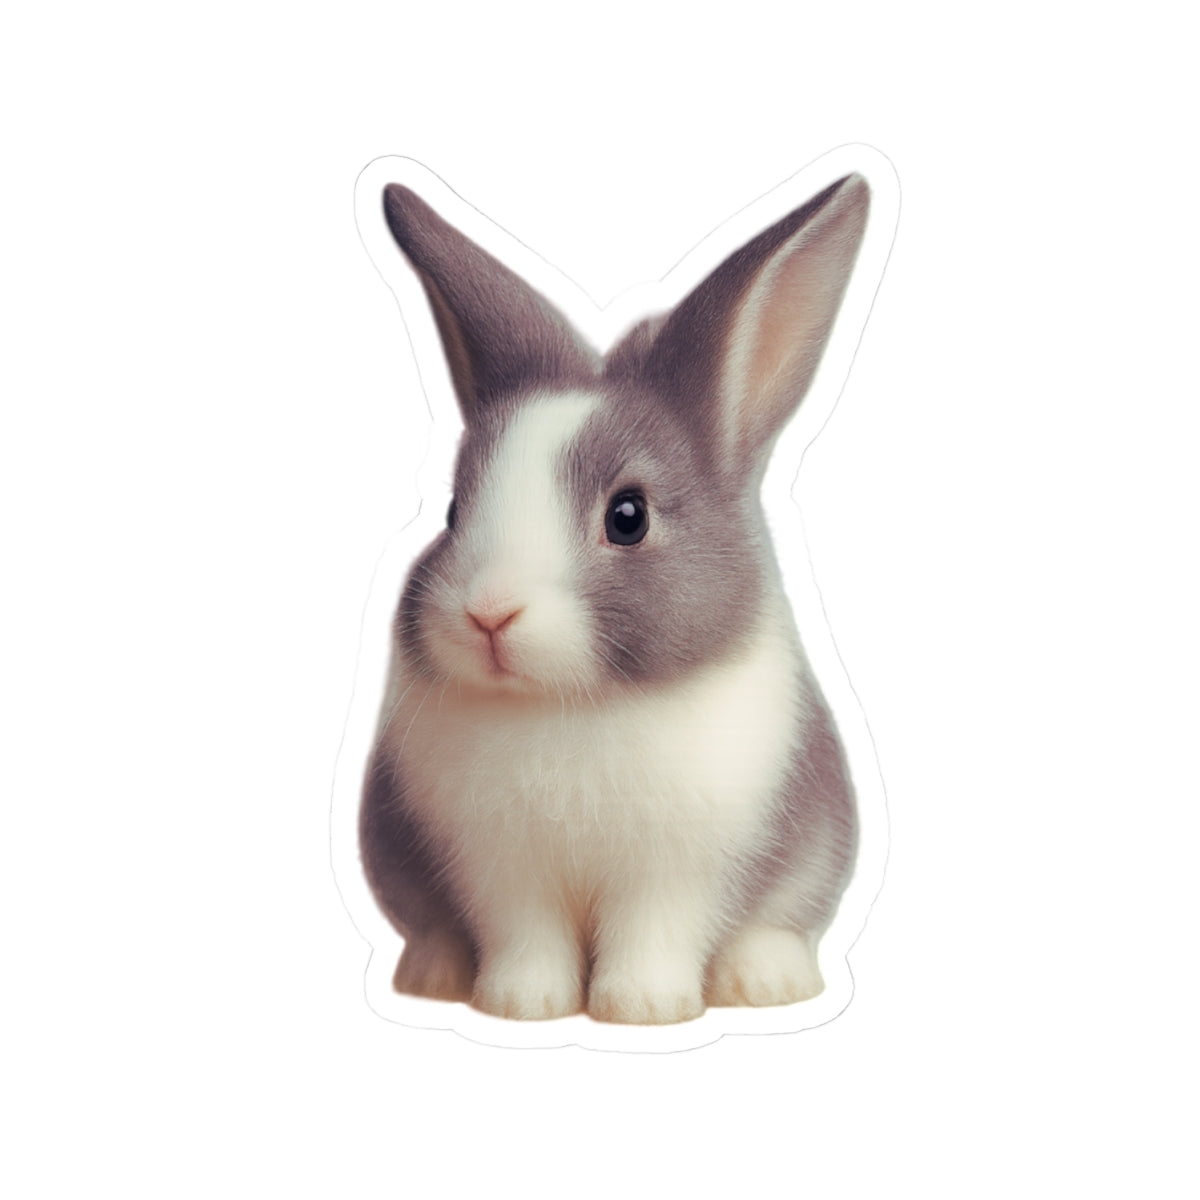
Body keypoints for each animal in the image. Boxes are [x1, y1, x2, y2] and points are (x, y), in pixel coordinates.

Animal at [359, 173, 869, 1025]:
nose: (489, 614)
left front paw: (643, 1007)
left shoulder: (679, 872)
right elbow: (526, 936)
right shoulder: (501, 869)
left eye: (628, 517)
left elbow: (653, 935)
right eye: (454, 511)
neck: (569, 705)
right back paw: (435, 975)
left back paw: (764, 984)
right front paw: (522, 1003)